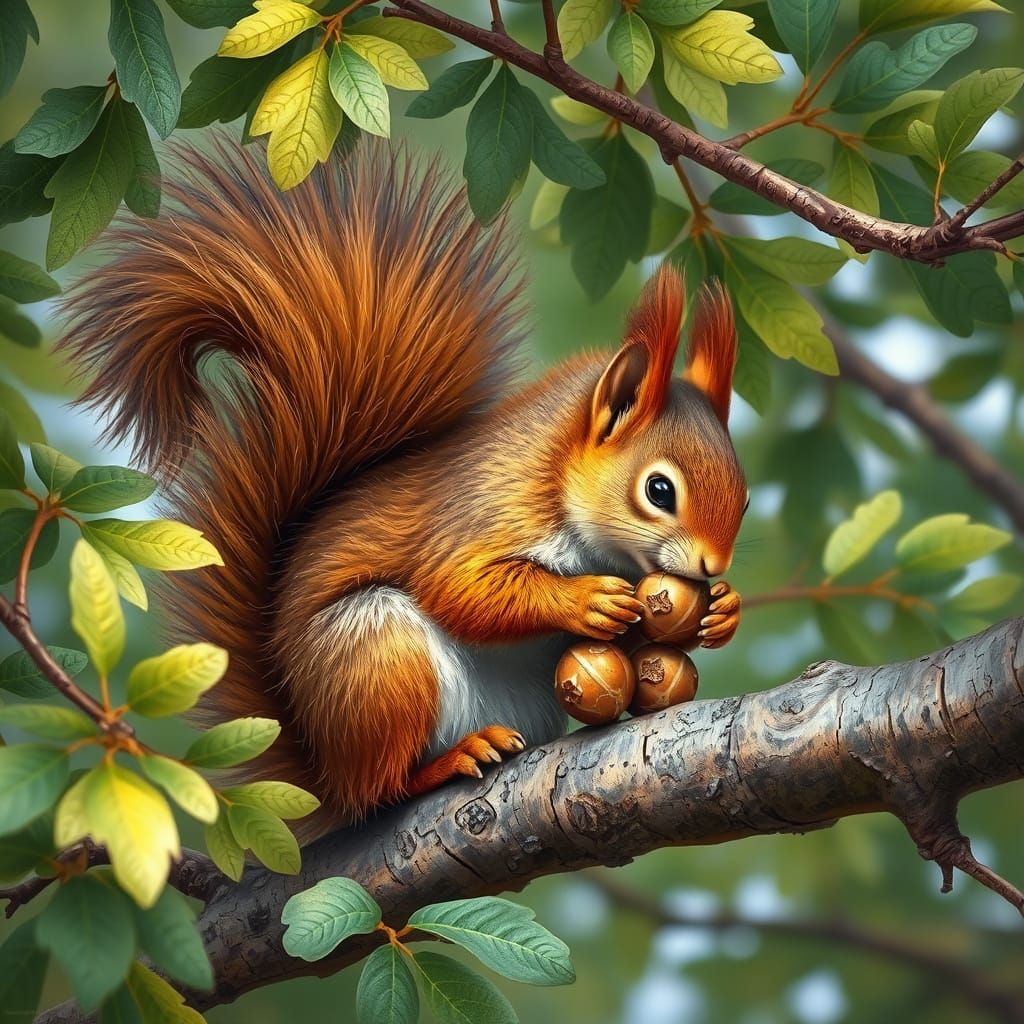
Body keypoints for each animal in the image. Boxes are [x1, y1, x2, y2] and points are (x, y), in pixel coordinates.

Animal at [60, 134, 748, 836]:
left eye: (744, 497)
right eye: (659, 491)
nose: (713, 566)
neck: (557, 474)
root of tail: (328, 775)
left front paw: (721, 612)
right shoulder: (483, 508)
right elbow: (460, 588)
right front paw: (584, 600)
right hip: (380, 658)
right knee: (382, 790)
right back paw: (449, 762)